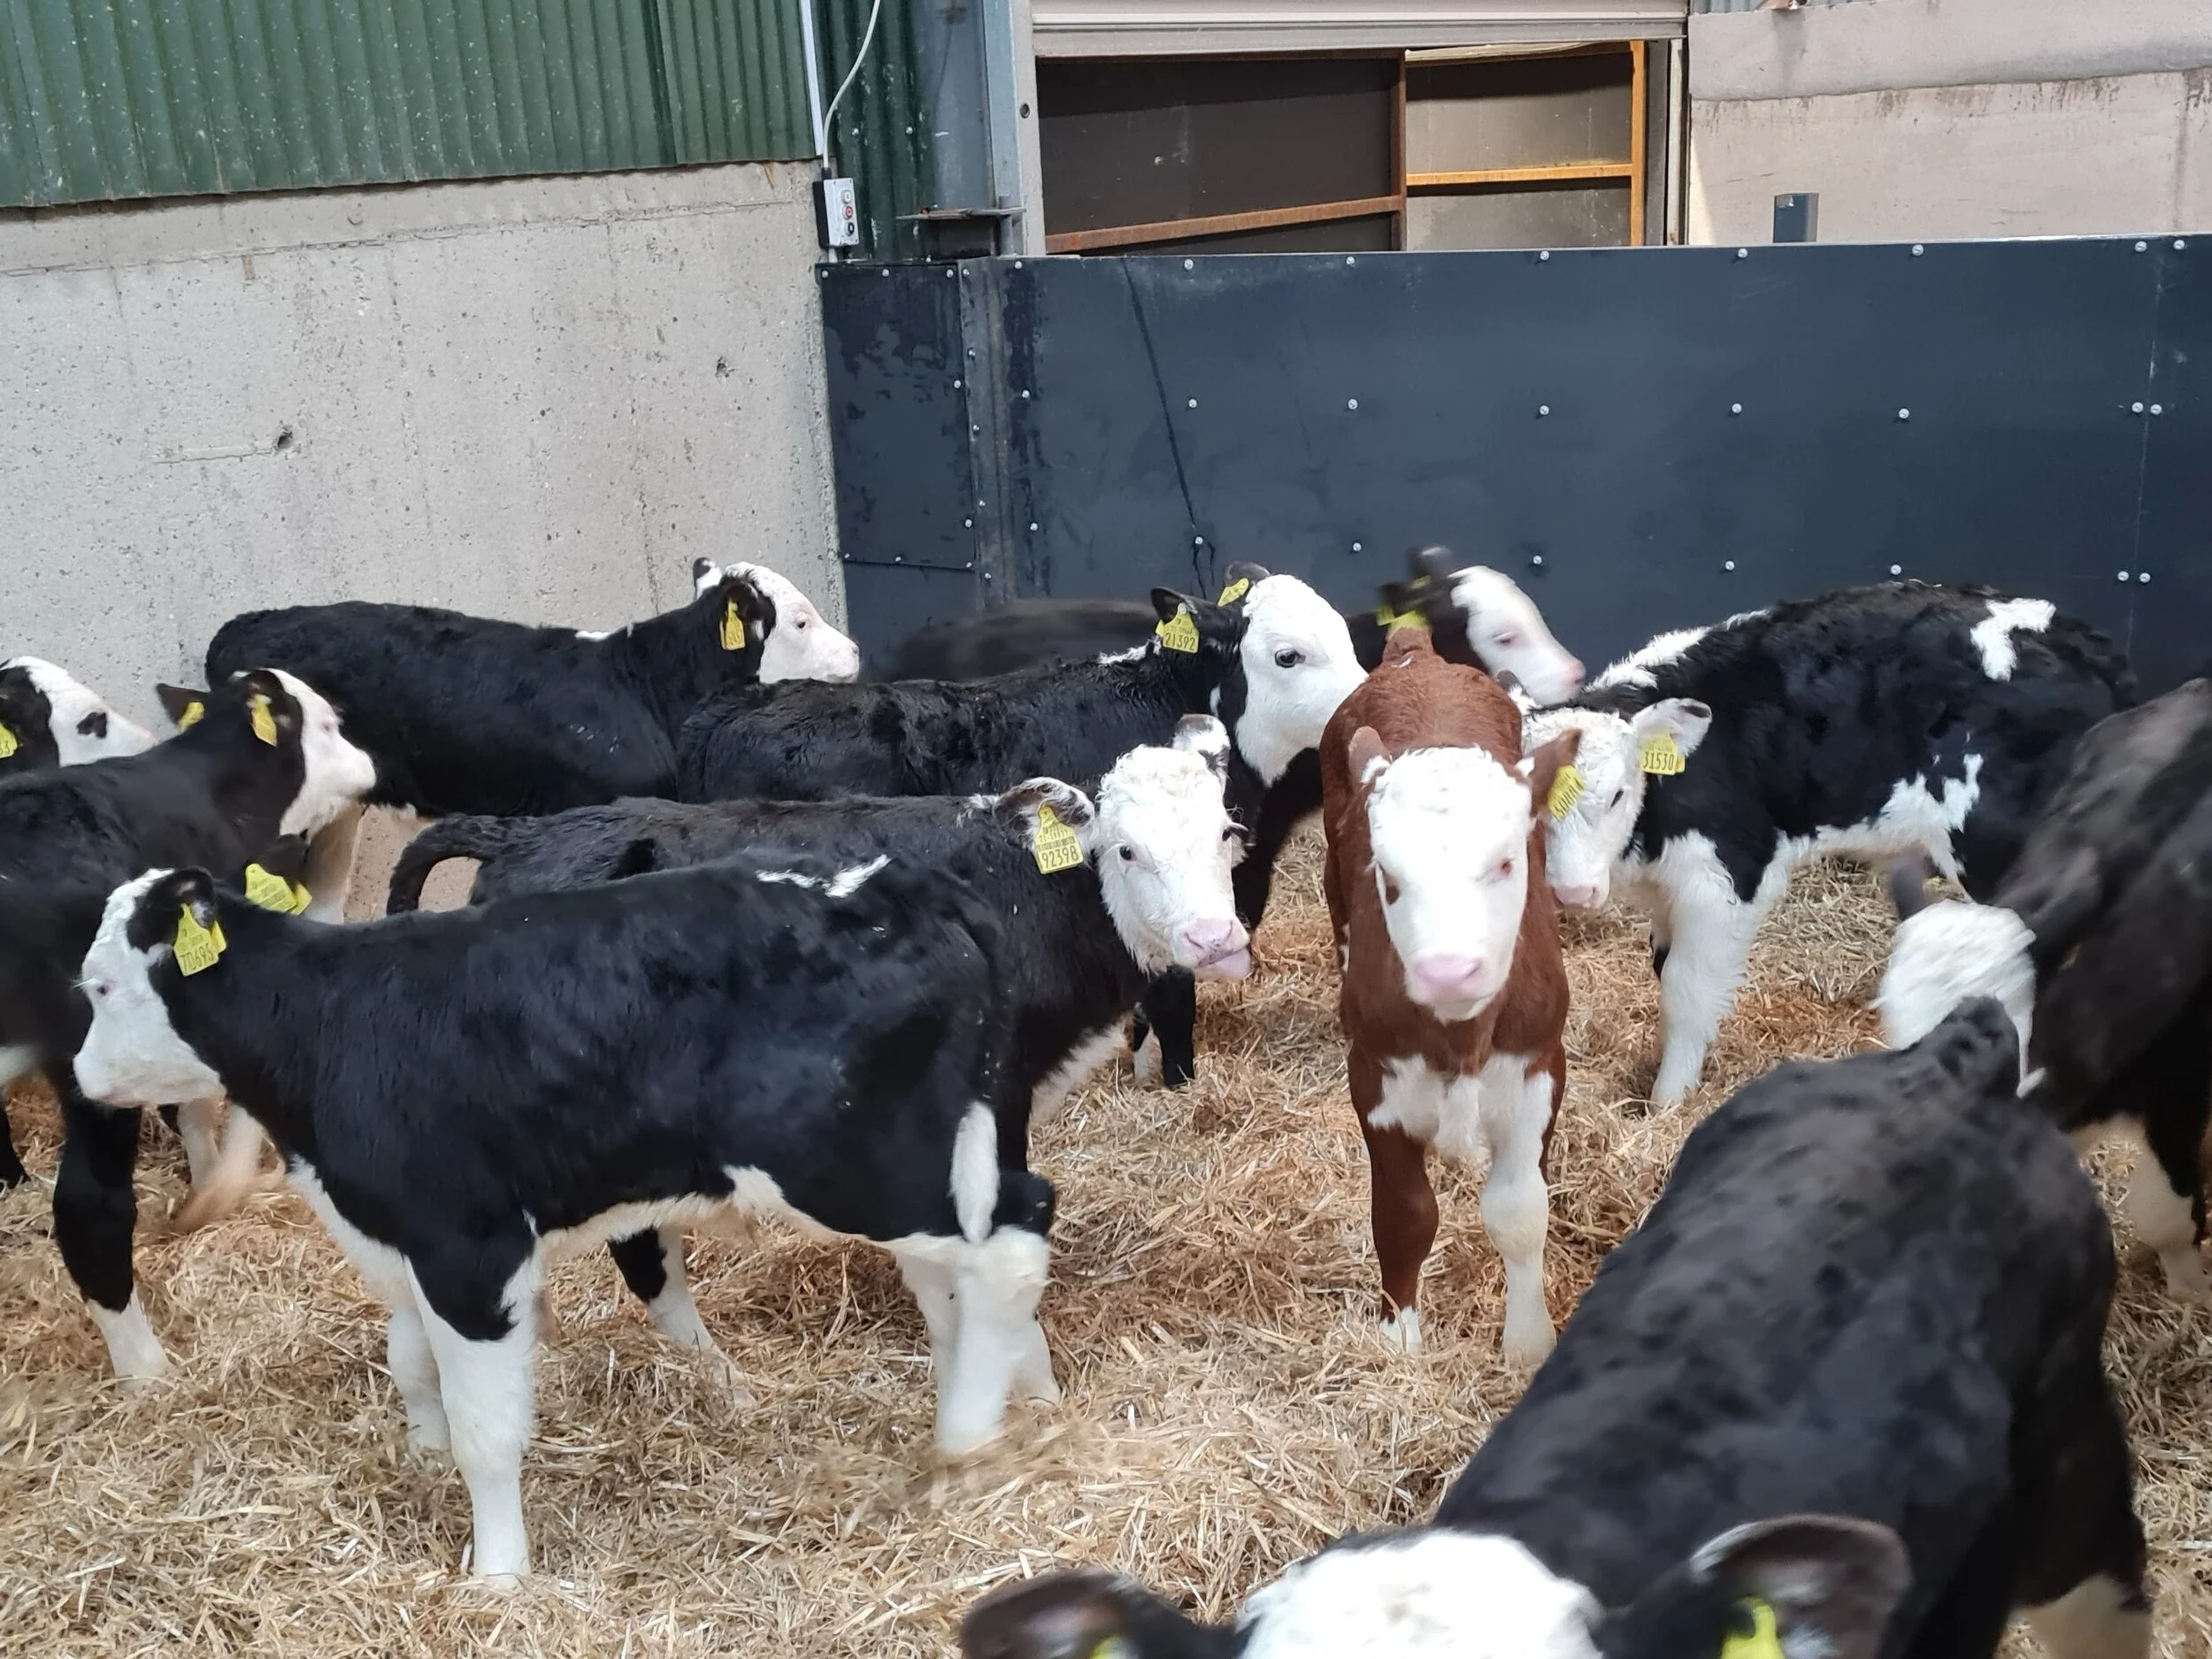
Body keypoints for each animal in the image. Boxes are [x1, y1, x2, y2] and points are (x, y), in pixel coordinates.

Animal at [0, 670, 376, 1377]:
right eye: (329, 725)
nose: (370, 763)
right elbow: (198, 1104)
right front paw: (208, 1185)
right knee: (90, 1204)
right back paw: (145, 1370)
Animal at [75, 851, 1046, 1583]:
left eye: (100, 987)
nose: (80, 1077)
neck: (326, 1027)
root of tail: (896, 881)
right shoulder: (399, 1240)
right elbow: (410, 1362)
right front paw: (421, 1456)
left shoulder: (470, 1246)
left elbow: (486, 1428)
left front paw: (498, 1574)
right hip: (935, 1149)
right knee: (960, 1272)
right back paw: (1007, 1403)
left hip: (843, 1160)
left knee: (1012, 1240)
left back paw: (964, 1440)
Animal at [383, 718, 1250, 1352]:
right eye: (1126, 849)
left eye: (1225, 833)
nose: (1214, 939)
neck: (1027, 889)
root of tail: (525, 836)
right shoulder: (990, 1096)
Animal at [1321, 627, 1580, 1362]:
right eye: (1389, 875)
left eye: (1505, 861)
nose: (1449, 969)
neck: (1460, 1036)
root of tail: (1418, 655)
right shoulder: (1373, 1076)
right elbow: (1404, 1214)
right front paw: (1400, 1337)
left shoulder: (1540, 1065)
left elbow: (1520, 1209)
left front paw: (1528, 1342)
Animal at [1525, 582, 2131, 1108]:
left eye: (1618, 794)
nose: (1573, 892)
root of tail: (2090, 647)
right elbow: (1663, 969)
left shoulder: (1726, 876)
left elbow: (1686, 993)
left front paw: (1667, 1102)